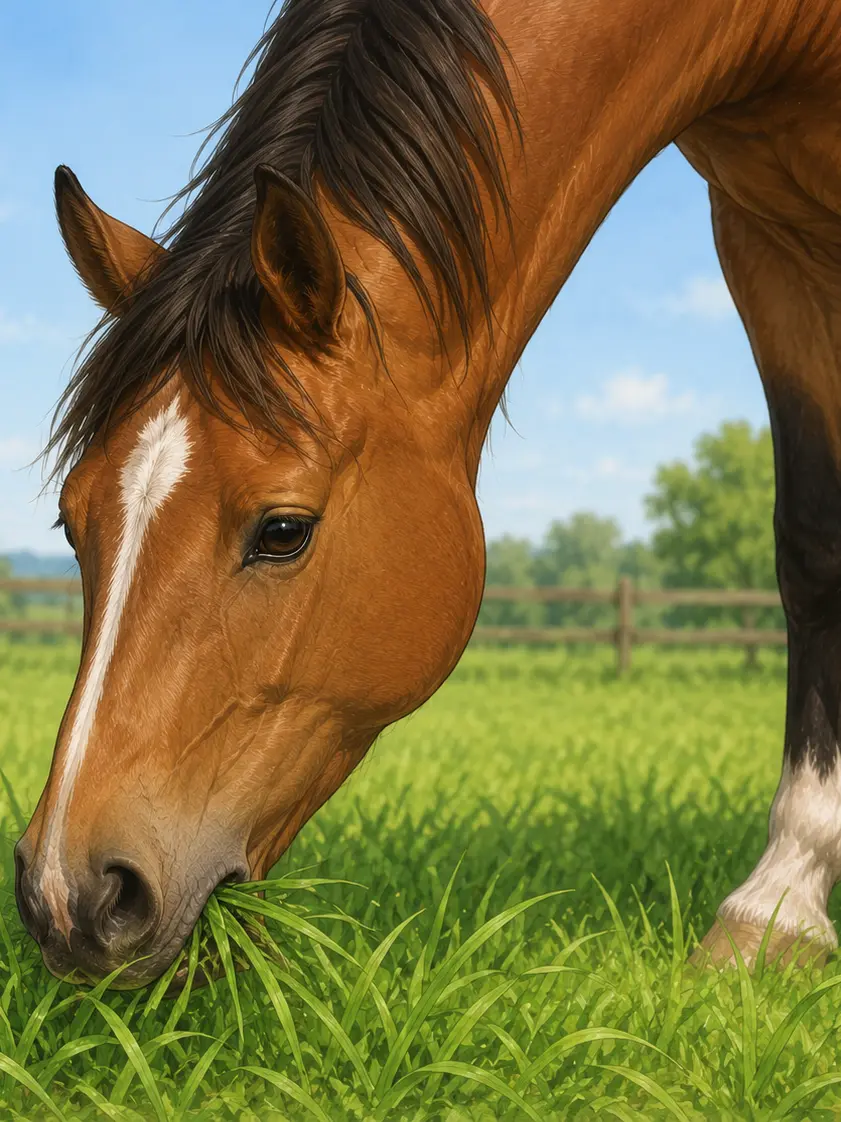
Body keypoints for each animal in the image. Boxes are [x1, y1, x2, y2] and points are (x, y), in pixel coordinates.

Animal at [14, 0, 841, 985]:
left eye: (283, 530)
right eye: (72, 524)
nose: (70, 897)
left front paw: (781, 901)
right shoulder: (762, 233)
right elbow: (811, 543)